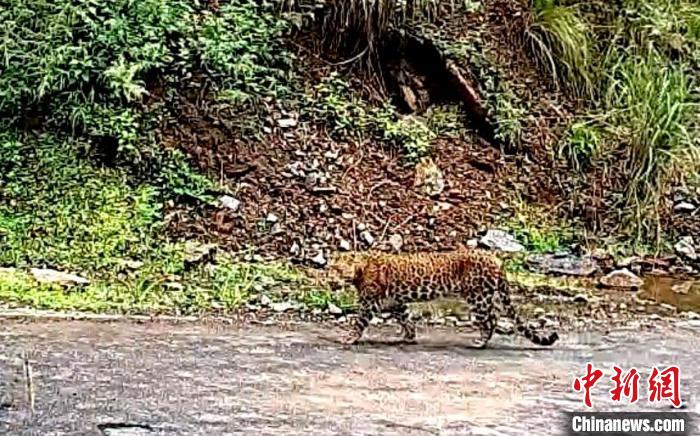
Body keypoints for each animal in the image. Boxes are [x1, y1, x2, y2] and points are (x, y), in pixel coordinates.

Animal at [336, 249, 559, 348]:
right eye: (333, 268)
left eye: (339, 269)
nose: (333, 280)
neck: (361, 268)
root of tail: (495, 260)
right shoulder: (394, 302)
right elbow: (405, 318)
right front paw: (410, 336)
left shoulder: (370, 303)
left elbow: (359, 322)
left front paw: (349, 338)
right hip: (482, 296)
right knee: (492, 316)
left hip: (478, 296)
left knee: (490, 318)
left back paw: (480, 342)